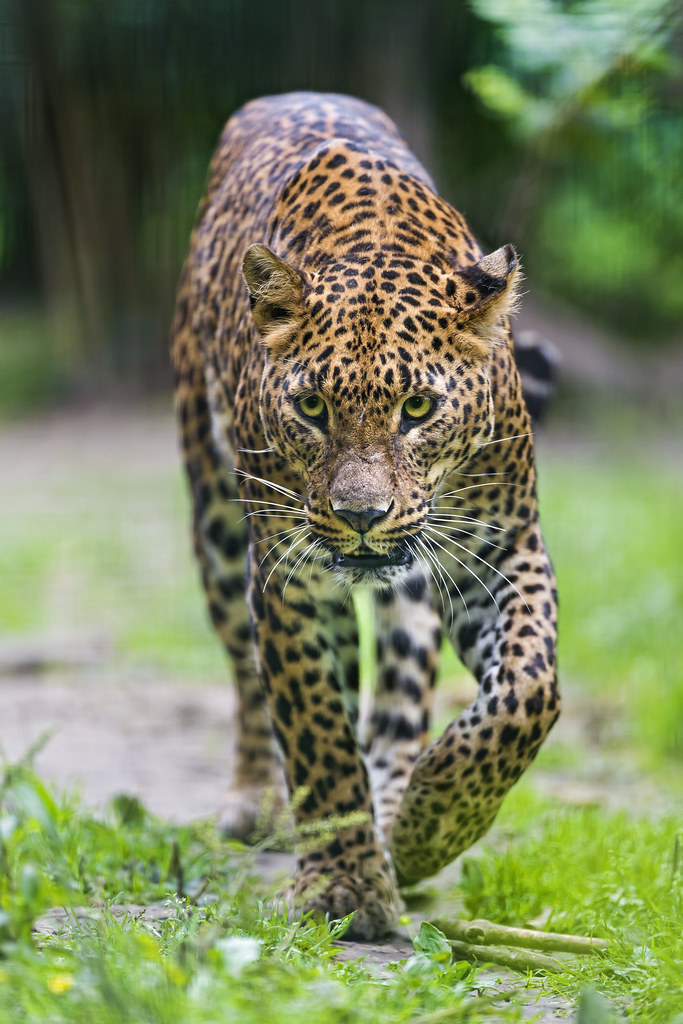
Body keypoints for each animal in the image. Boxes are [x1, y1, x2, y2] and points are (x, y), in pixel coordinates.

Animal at [171, 92, 560, 940]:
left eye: (417, 409)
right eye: (312, 408)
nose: (359, 515)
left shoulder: (502, 548)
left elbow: (526, 691)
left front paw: (428, 826)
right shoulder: (285, 577)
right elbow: (315, 728)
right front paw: (343, 883)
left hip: (408, 592)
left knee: (399, 693)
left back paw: (394, 808)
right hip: (215, 525)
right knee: (247, 675)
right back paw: (259, 800)